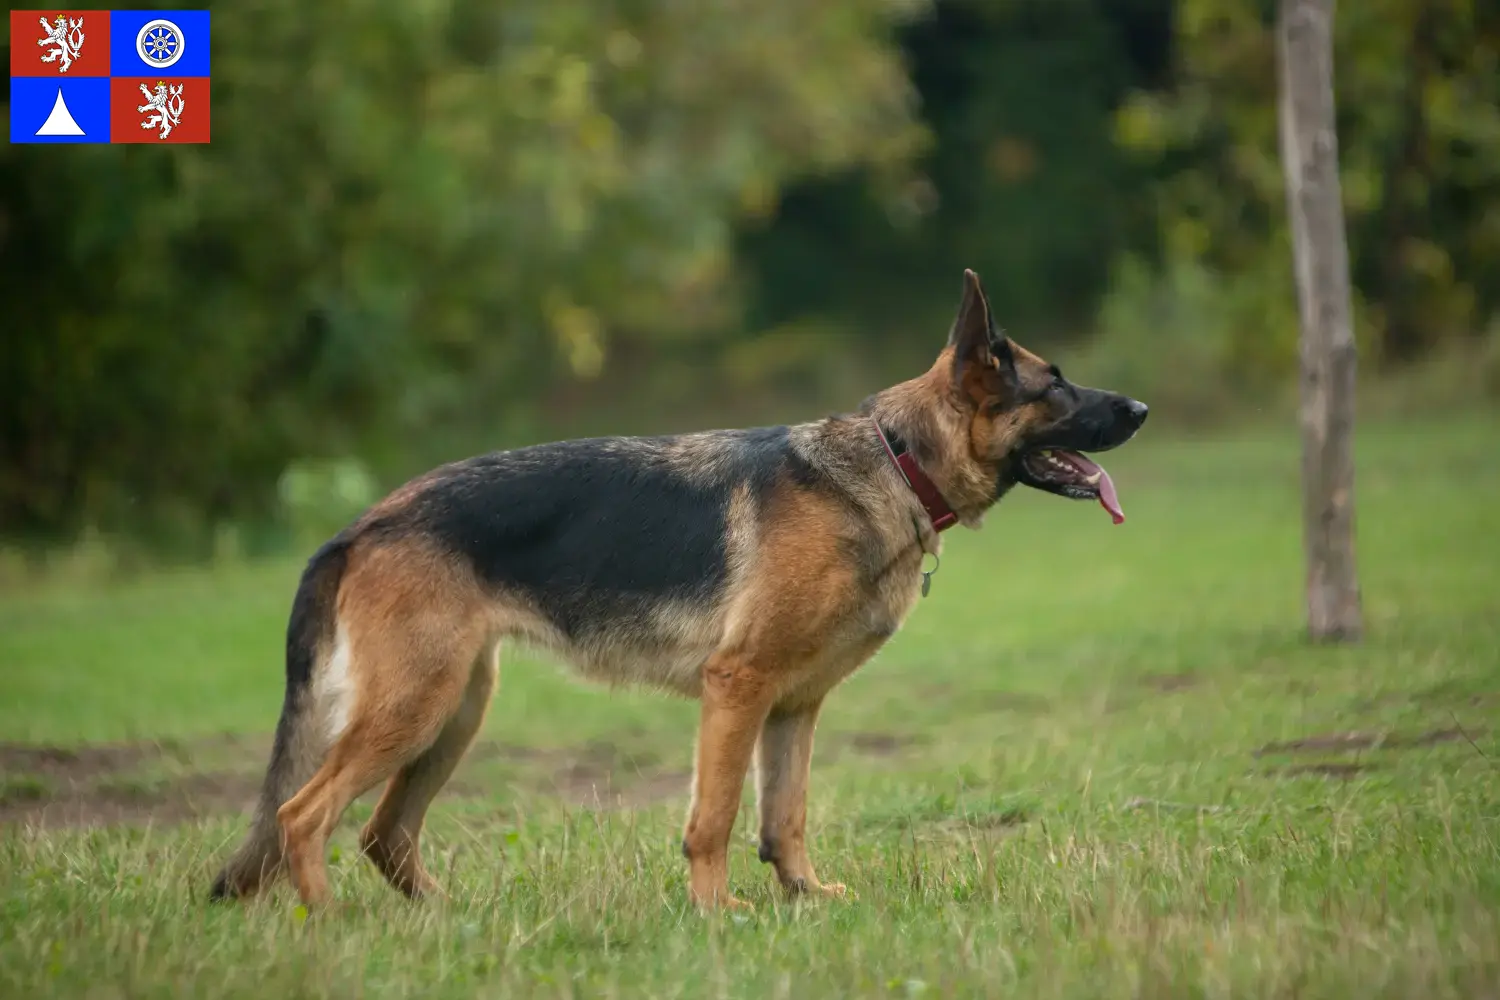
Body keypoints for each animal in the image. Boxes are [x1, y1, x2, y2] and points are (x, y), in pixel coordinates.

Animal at [211, 269, 1146, 911]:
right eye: (1055, 385)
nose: (1140, 408)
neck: (893, 457)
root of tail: (361, 524)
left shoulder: (793, 706)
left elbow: (785, 815)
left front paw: (804, 899)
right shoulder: (737, 689)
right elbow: (717, 815)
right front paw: (717, 912)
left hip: (454, 712)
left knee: (383, 832)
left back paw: (441, 922)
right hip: (416, 709)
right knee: (303, 815)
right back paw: (331, 923)